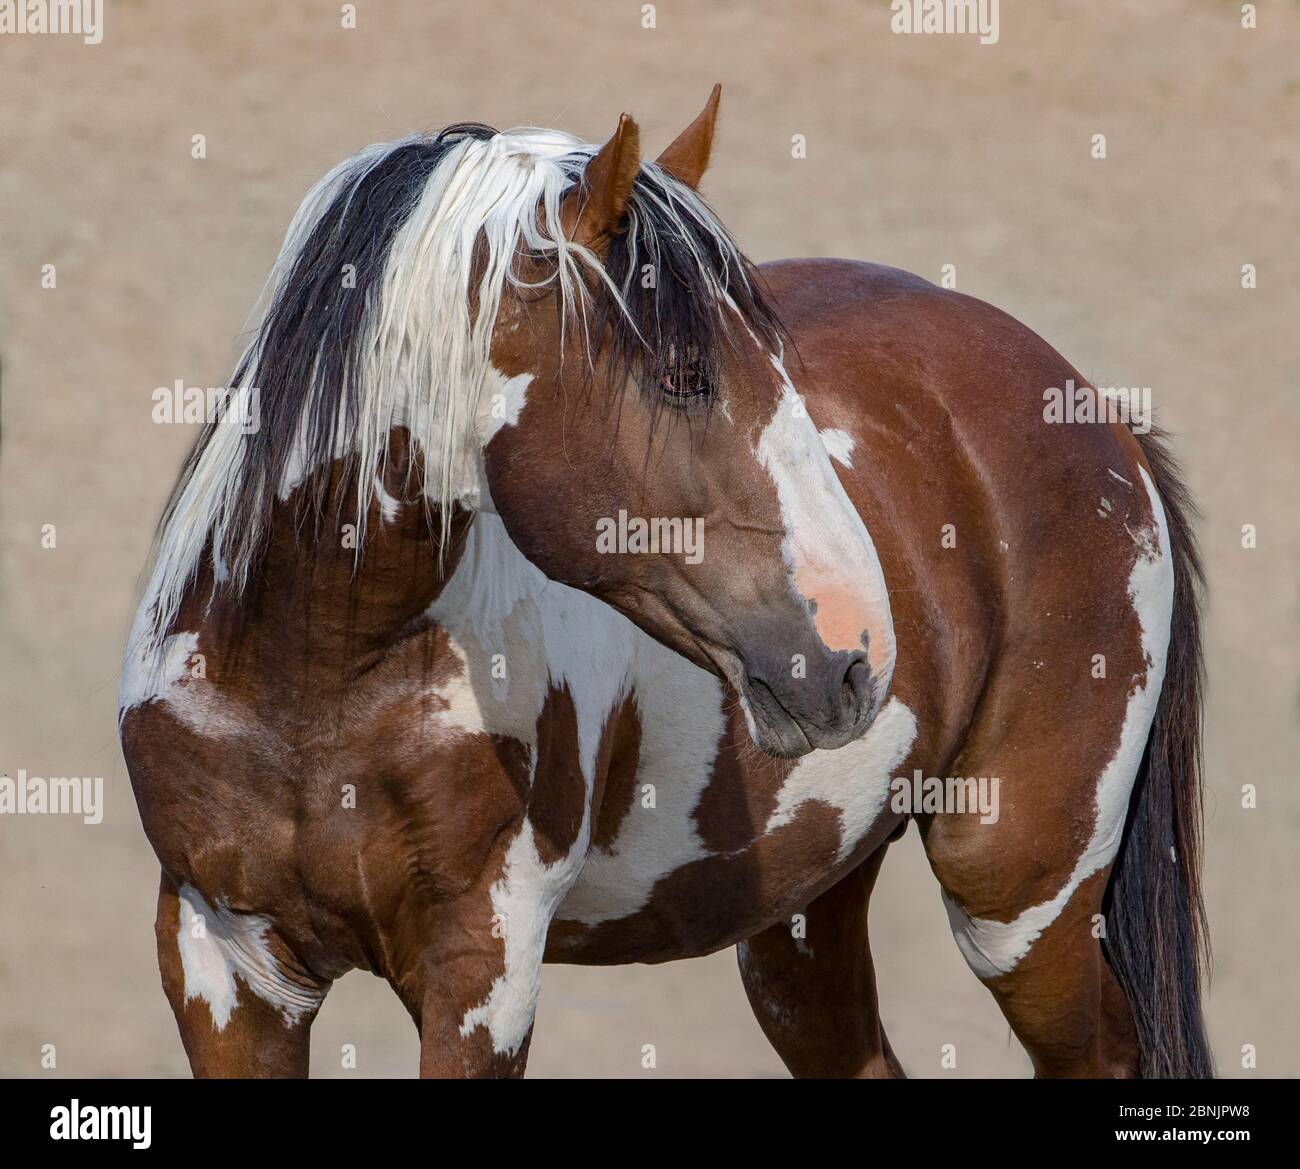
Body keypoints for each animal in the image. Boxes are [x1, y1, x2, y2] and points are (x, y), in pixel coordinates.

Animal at [119, 89, 1206, 1076]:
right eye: (684, 374)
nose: (857, 655)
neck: (316, 675)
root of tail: (1104, 418)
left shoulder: (481, 970)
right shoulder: (224, 967)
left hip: (1021, 904)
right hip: (806, 921)